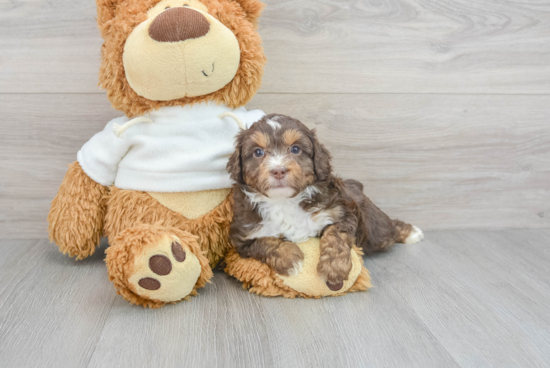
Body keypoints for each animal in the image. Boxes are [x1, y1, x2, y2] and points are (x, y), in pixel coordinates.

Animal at [226, 113, 424, 288]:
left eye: (295, 149)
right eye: (258, 152)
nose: (278, 170)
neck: (284, 201)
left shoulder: (342, 212)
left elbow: (336, 236)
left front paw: (334, 268)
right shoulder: (242, 236)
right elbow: (264, 242)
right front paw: (290, 260)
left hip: (375, 230)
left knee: (388, 229)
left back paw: (411, 232)